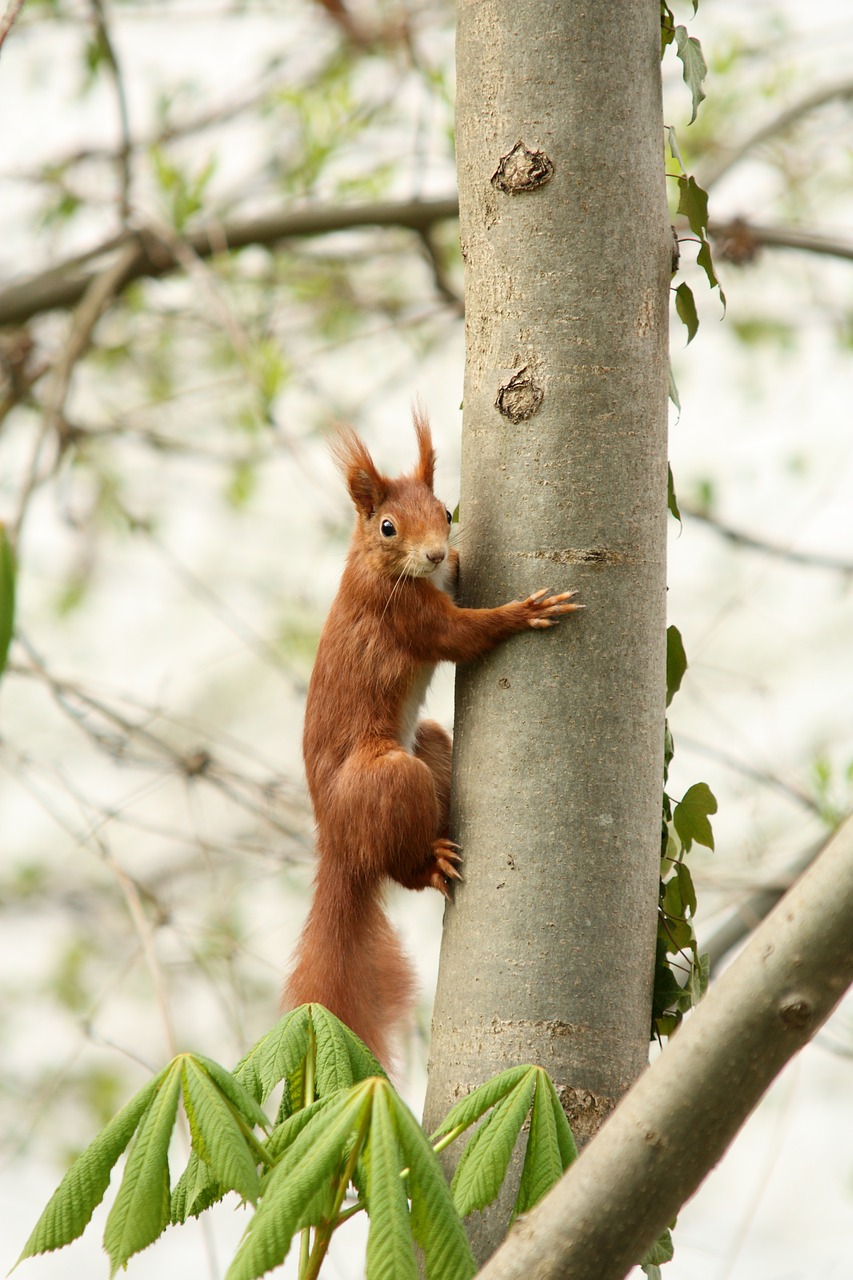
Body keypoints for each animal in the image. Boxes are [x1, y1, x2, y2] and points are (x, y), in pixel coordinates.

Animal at [281, 409, 581, 1059]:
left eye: (446, 511)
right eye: (388, 527)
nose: (437, 555)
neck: (375, 565)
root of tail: (337, 842)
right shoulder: (405, 615)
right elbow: (462, 636)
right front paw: (524, 613)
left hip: (432, 744)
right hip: (391, 778)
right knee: (399, 868)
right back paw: (431, 864)